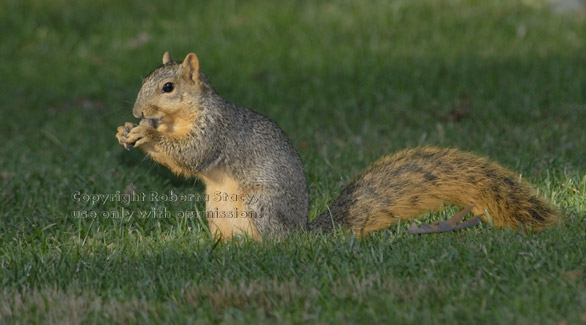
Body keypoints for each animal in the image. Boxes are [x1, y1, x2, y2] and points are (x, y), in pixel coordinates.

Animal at [116, 52, 560, 239]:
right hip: (216, 209)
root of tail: (302, 234)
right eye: (145, 79)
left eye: (167, 86)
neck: (185, 114)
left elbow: (193, 154)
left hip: (260, 203)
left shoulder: (217, 130)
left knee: (273, 243)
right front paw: (128, 130)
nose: (138, 110)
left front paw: (146, 135)